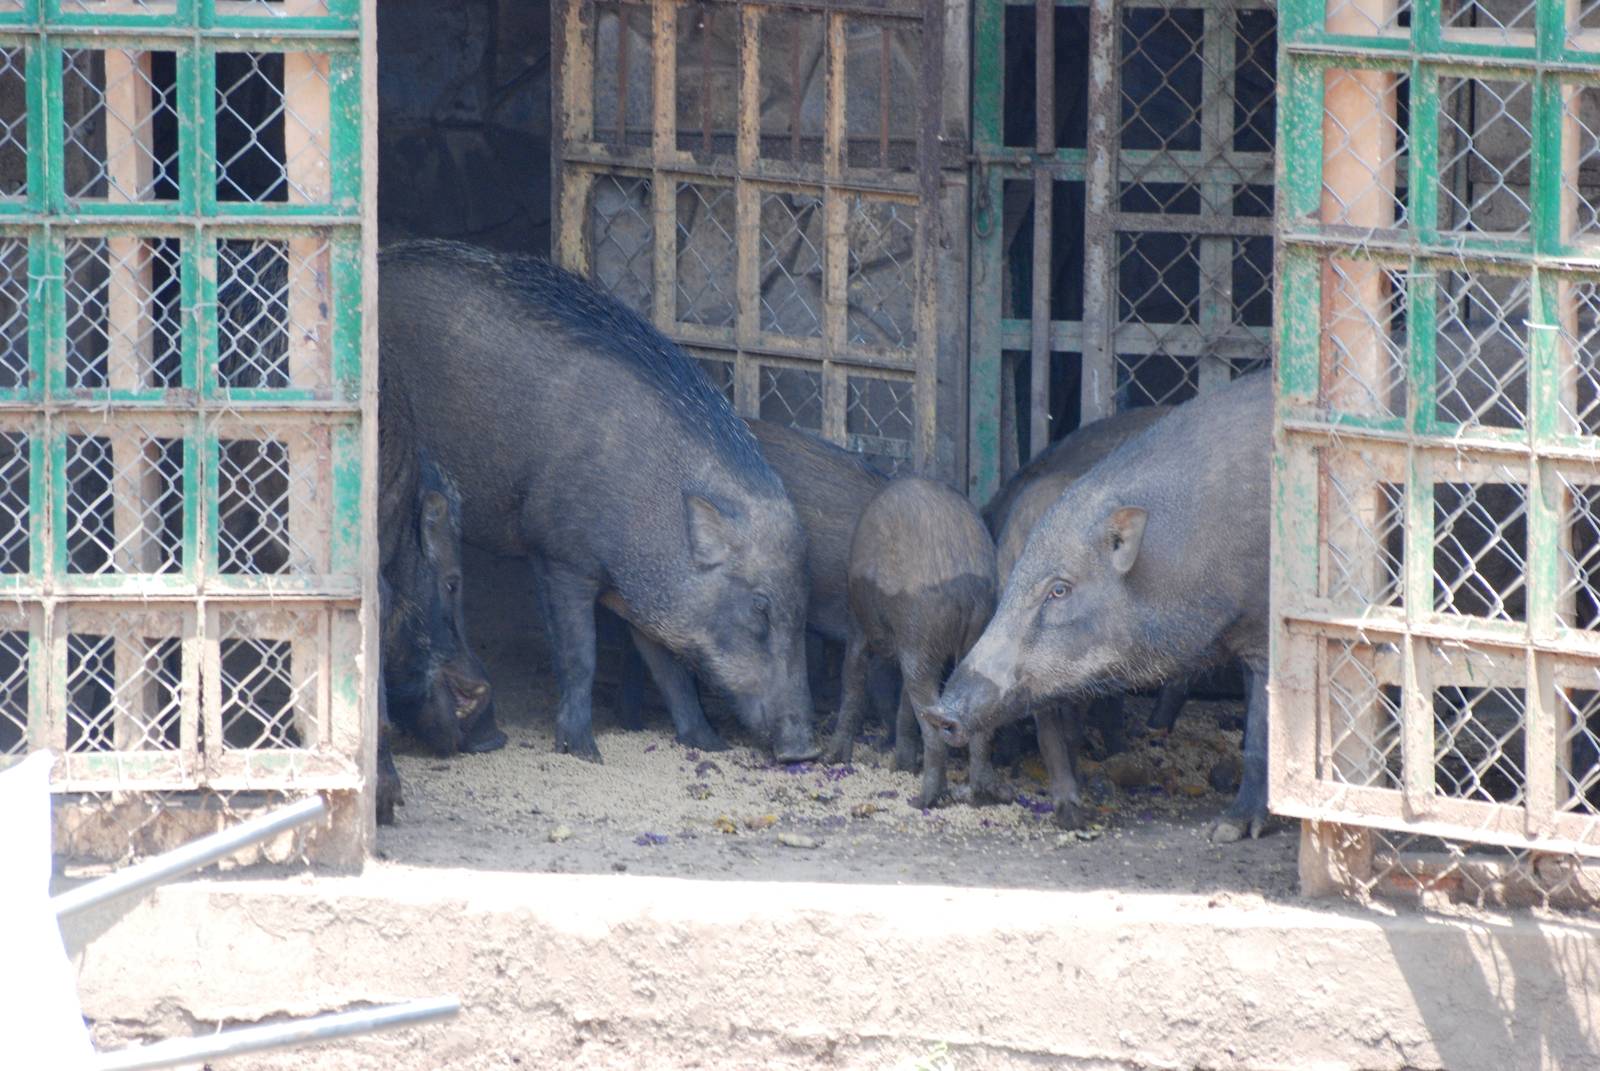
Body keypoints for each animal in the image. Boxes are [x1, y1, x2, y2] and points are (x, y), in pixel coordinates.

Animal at [379, 241, 818, 763]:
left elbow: (669, 669)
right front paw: (583, 751)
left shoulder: (644, 603)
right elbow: (579, 655)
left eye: (805, 606)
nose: (804, 751)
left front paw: (707, 743)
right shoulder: (559, 558)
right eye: (759, 607)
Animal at [826, 477, 997, 808]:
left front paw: (833, 757)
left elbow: (852, 680)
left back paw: (923, 800)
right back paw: (981, 796)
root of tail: (966, 583)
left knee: (933, 725)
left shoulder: (861, 627)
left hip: (920, 634)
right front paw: (902, 766)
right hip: (975, 636)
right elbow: (903, 704)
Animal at [926, 372, 1272, 842]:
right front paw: (1071, 813)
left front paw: (1227, 831)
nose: (938, 712)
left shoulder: (1264, 630)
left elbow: (1262, 729)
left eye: (1059, 590)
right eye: (1010, 582)